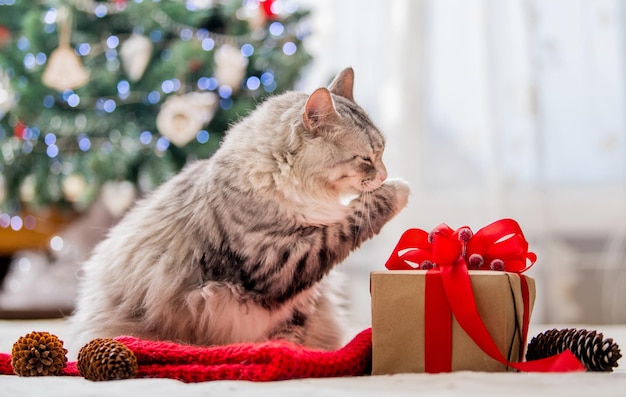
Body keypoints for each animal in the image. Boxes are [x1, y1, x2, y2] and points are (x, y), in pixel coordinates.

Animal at [70, 66, 410, 352]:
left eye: (382, 153)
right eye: (366, 159)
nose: (383, 174)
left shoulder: (301, 298)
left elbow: (292, 331)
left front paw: (293, 354)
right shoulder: (280, 263)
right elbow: (346, 225)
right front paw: (399, 189)